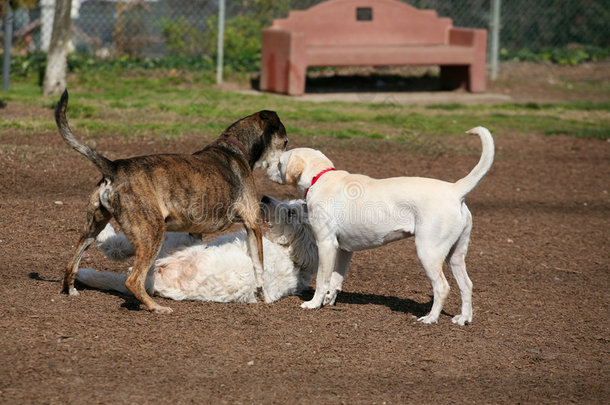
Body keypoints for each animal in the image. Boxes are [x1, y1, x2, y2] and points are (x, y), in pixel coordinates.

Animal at [54, 90, 288, 312]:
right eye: (285, 143)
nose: (282, 169)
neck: (235, 149)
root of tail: (114, 167)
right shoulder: (252, 224)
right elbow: (259, 266)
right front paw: (264, 295)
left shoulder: (196, 231)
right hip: (152, 232)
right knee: (133, 280)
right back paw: (155, 307)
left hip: (93, 227)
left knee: (71, 263)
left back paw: (71, 290)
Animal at [268, 124, 494, 324]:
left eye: (280, 162)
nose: (266, 167)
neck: (320, 177)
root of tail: (455, 190)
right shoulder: (344, 250)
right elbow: (336, 280)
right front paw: (329, 300)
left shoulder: (326, 244)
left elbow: (323, 279)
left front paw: (314, 303)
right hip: (455, 255)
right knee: (467, 285)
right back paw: (464, 318)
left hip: (428, 252)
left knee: (442, 287)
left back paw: (430, 318)